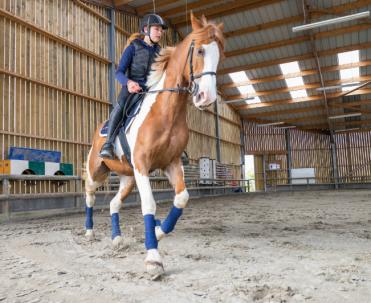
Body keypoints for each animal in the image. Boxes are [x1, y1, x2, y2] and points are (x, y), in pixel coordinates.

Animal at [83, 13, 224, 280]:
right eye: (200, 50)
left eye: (219, 54)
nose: (207, 98)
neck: (166, 111)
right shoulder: (142, 165)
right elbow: (149, 205)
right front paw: (153, 259)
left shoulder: (171, 164)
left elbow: (182, 198)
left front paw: (158, 232)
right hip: (98, 172)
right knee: (90, 195)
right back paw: (89, 232)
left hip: (128, 178)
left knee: (114, 203)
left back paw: (117, 239)